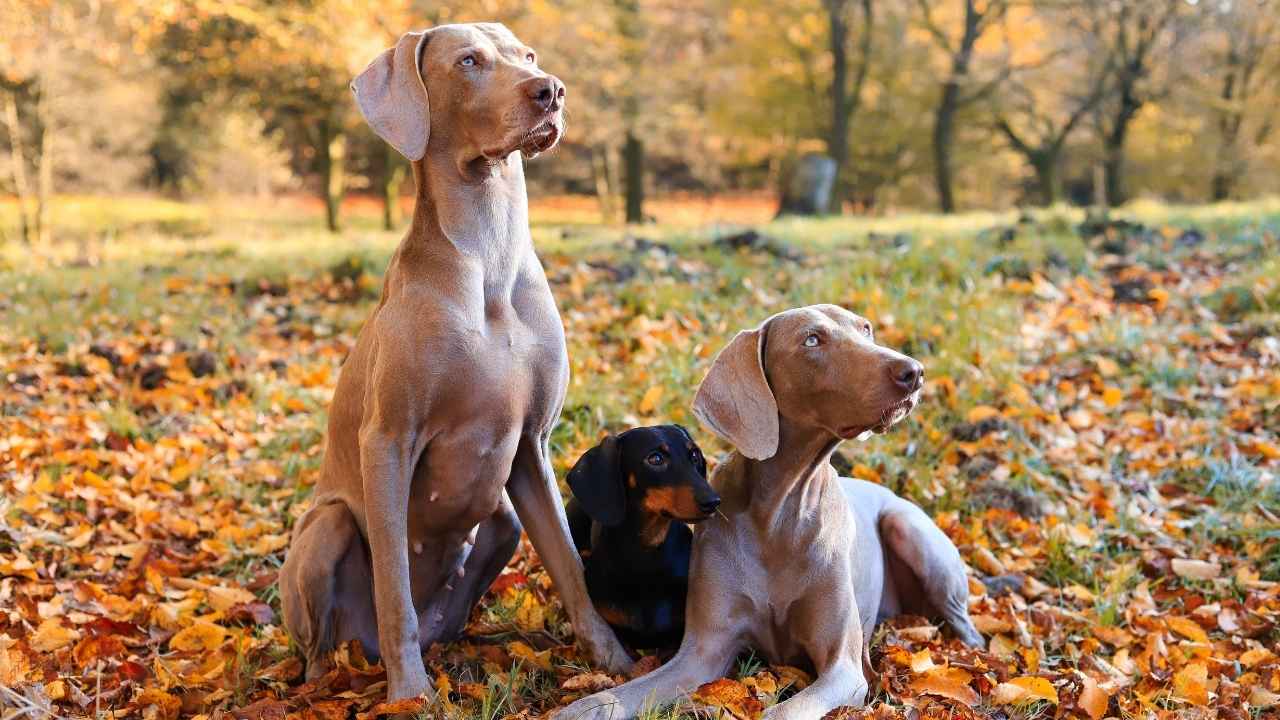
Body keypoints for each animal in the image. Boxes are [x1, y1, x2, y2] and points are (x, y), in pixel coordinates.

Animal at [555, 302, 983, 717]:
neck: (779, 517)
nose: (914, 372)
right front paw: (580, 708)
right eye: (812, 340)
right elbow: (621, 694)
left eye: (866, 329)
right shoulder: (702, 651)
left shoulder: (843, 668)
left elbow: (783, 710)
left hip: (907, 529)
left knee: (965, 624)